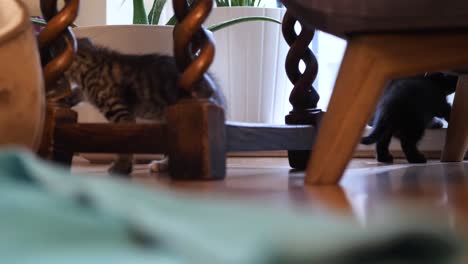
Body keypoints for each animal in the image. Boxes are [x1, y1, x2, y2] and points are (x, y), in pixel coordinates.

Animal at [60, 36, 227, 173]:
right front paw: (65, 98)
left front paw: (122, 166)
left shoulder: (120, 114)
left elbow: (124, 142)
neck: (89, 63)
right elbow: (78, 92)